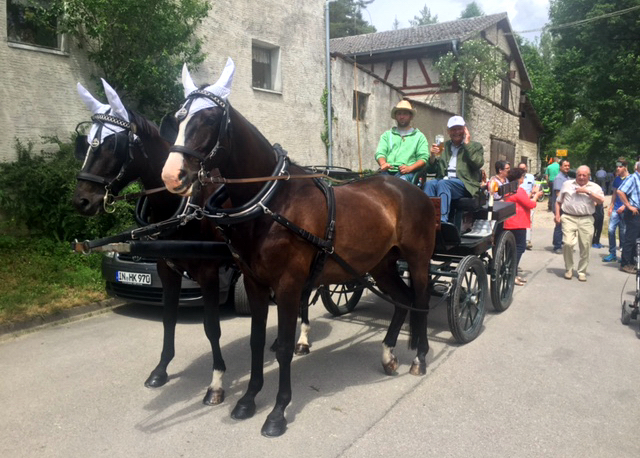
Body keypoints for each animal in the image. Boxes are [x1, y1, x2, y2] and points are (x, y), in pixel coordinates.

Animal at [162, 60, 438, 436]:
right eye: (179, 118)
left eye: (208, 120)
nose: (171, 176)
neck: (272, 201)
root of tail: (412, 189)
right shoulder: (255, 283)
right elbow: (256, 342)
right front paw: (248, 399)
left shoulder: (290, 286)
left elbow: (283, 348)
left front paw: (277, 412)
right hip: (380, 264)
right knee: (402, 300)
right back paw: (388, 354)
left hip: (419, 260)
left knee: (420, 300)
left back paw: (420, 358)